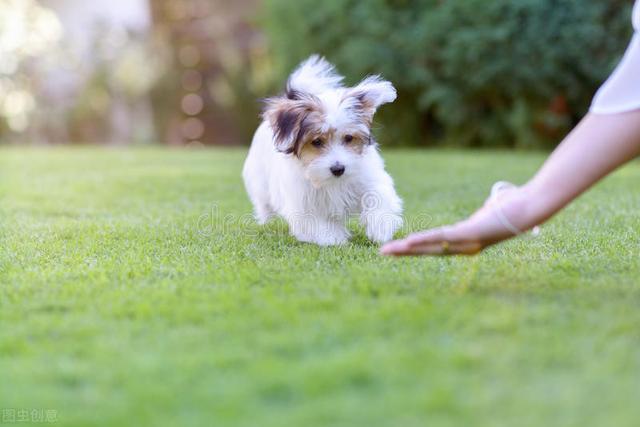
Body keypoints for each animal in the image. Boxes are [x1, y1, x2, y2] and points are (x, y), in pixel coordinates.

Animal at [242, 55, 402, 246]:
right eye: (316, 141)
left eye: (349, 138)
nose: (338, 169)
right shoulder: (304, 201)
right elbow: (317, 221)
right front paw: (333, 238)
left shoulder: (369, 179)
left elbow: (377, 197)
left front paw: (380, 228)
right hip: (260, 182)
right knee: (263, 203)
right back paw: (265, 221)